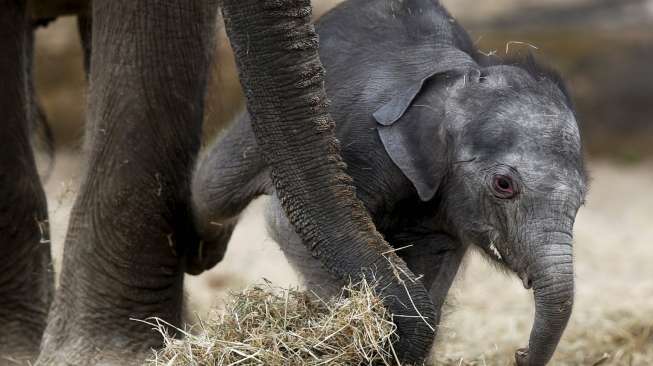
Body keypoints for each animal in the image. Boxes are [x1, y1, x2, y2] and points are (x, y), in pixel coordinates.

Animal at [188, 0, 584, 364]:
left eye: (581, 202)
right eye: (504, 184)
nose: (519, 353)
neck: (455, 77)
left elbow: (436, 259)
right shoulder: (364, 142)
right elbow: (287, 225)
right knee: (213, 190)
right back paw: (202, 248)